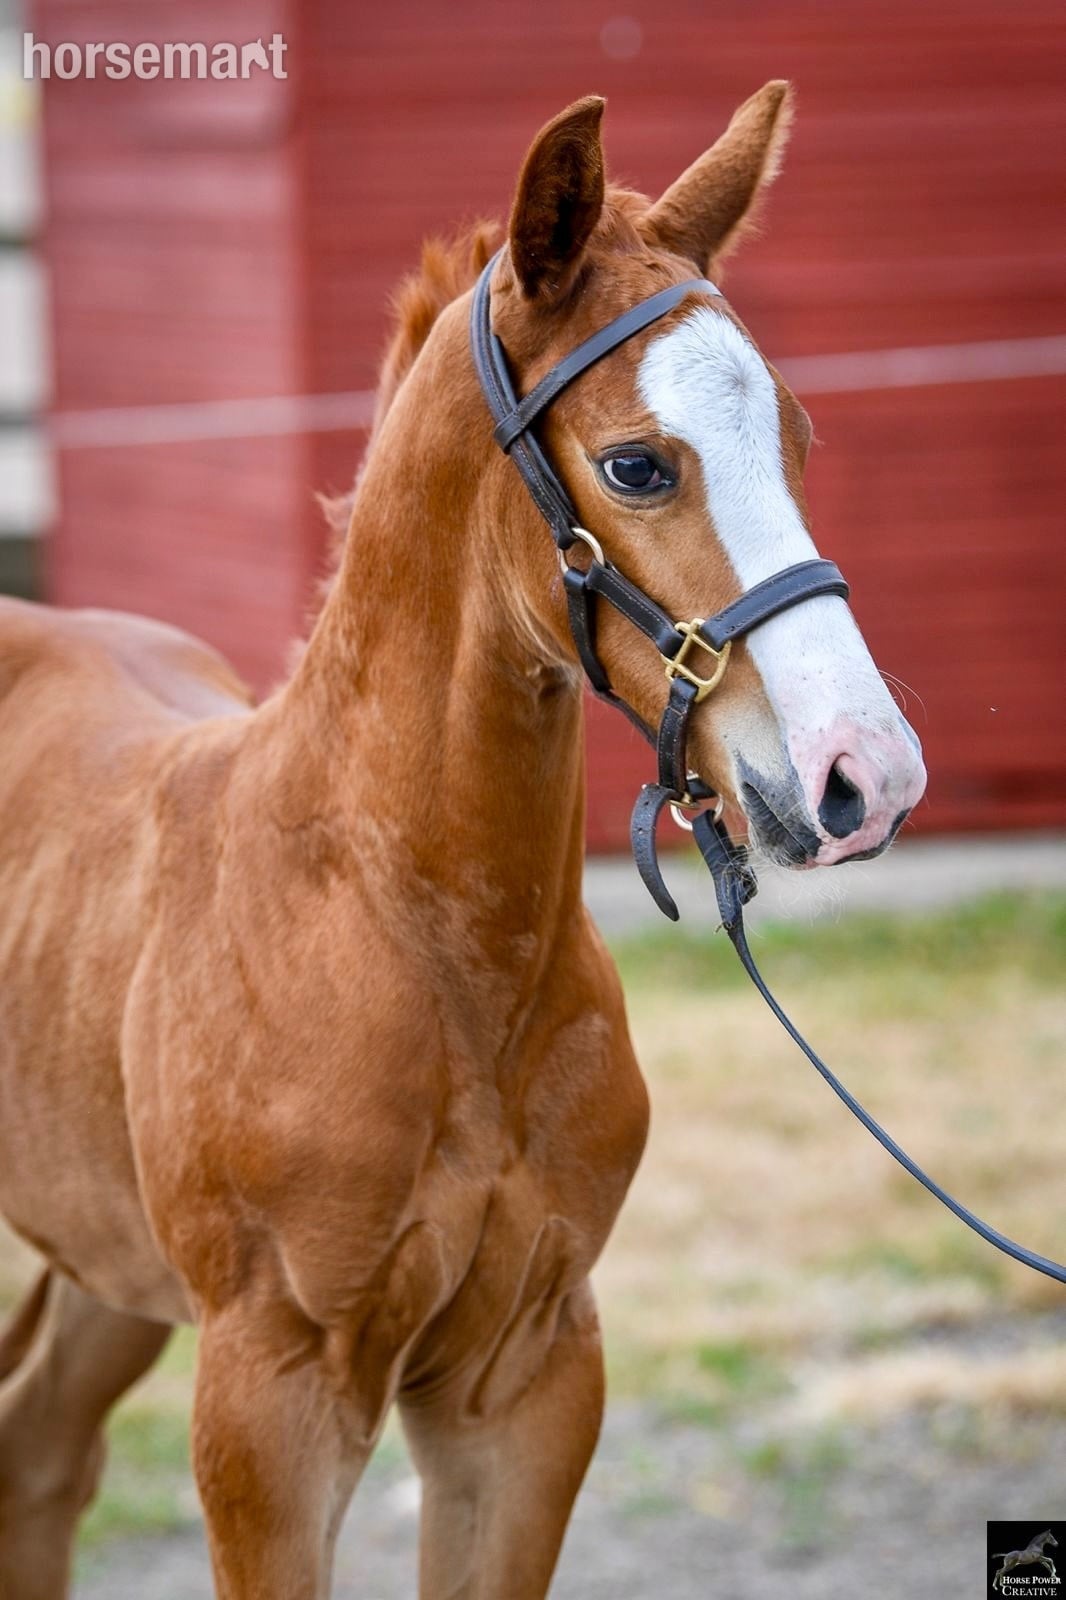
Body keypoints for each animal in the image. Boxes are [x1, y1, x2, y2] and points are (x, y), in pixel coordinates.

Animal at [0, 83, 925, 1599]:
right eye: (634, 463)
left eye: (793, 439)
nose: (868, 776)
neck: (414, 932)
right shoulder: (271, 1398)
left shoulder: (526, 1376)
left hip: (99, 1263)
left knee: (37, 1458)